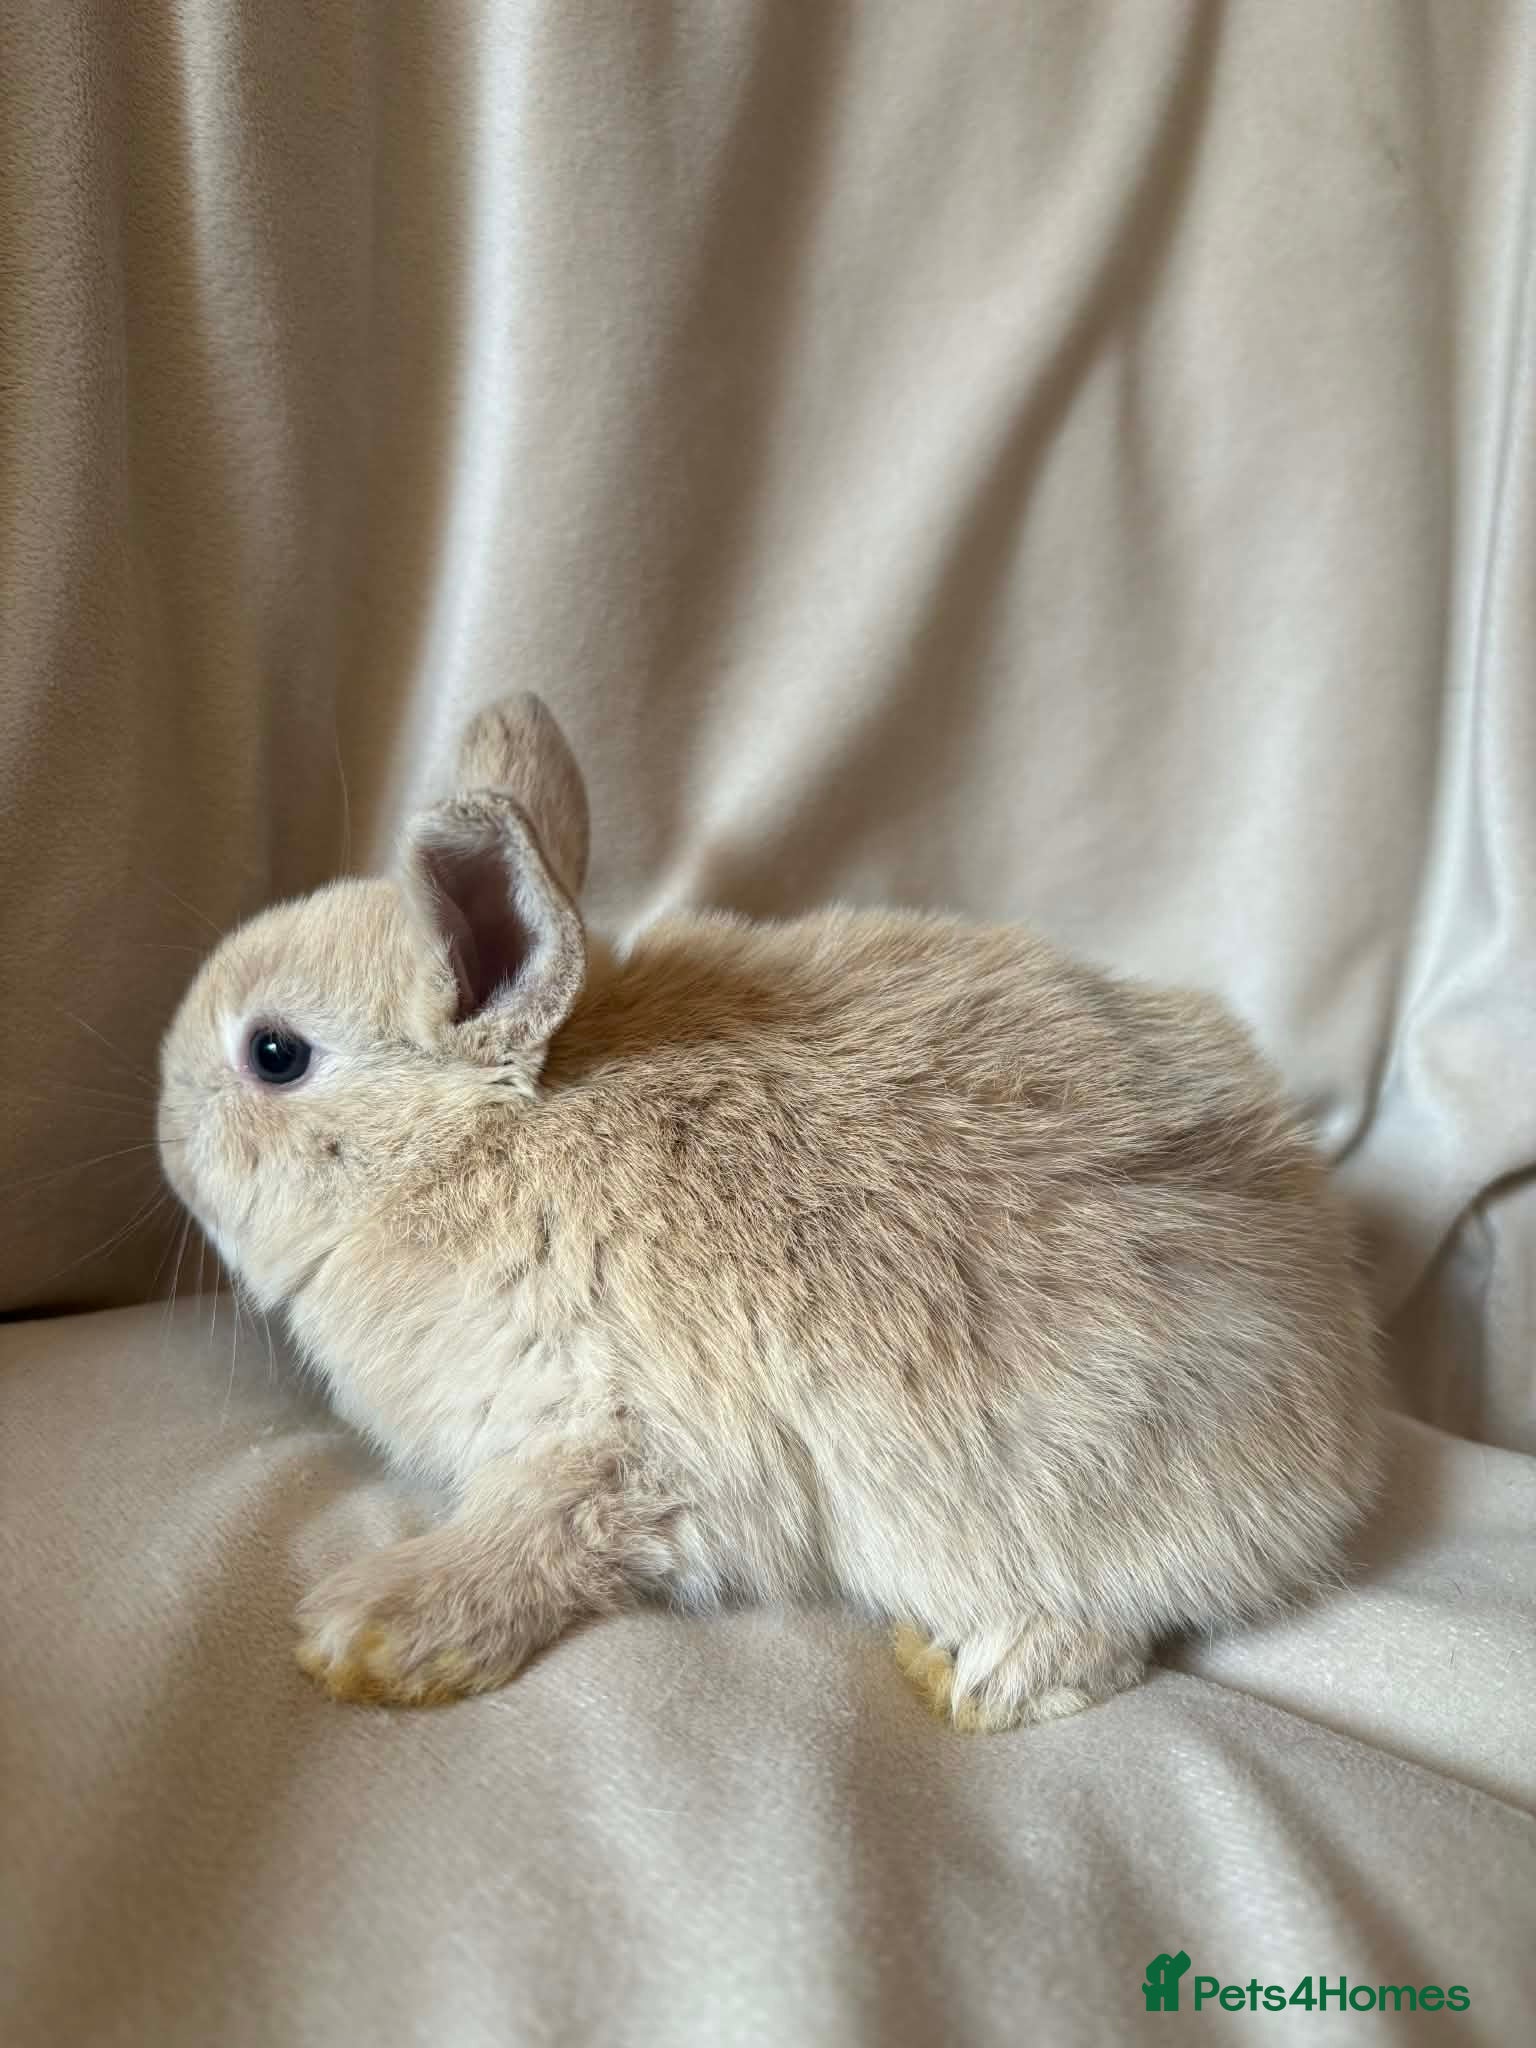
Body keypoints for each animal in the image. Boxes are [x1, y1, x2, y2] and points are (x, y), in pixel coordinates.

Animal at [157, 693, 1382, 1730]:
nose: (164, 1132)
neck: (469, 1148)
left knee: (1121, 1623)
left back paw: (975, 1673)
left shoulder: (626, 1440)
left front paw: (366, 1631)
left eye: (275, 1054)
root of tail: (1344, 1403)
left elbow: (540, 1536)